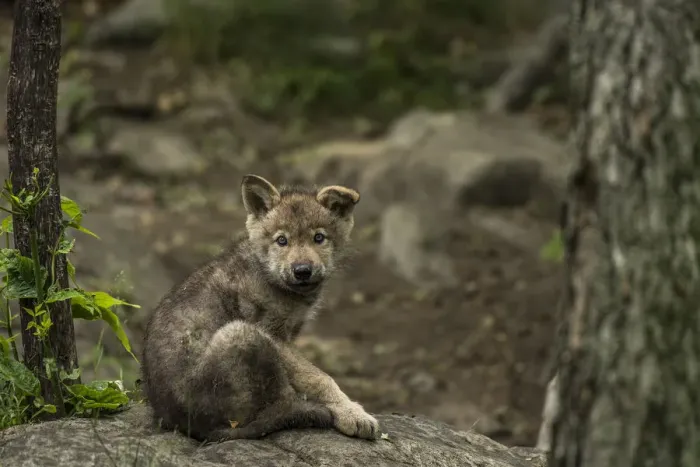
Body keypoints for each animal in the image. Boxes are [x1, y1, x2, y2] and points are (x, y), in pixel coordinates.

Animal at [141, 174, 379, 442]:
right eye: (281, 241)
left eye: (319, 238)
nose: (302, 271)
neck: (269, 275)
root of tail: (185, 424)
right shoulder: (272, 335)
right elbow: (317, 377)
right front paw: (353, 414)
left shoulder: (289, 334)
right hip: (242, 334)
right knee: (271, 408)